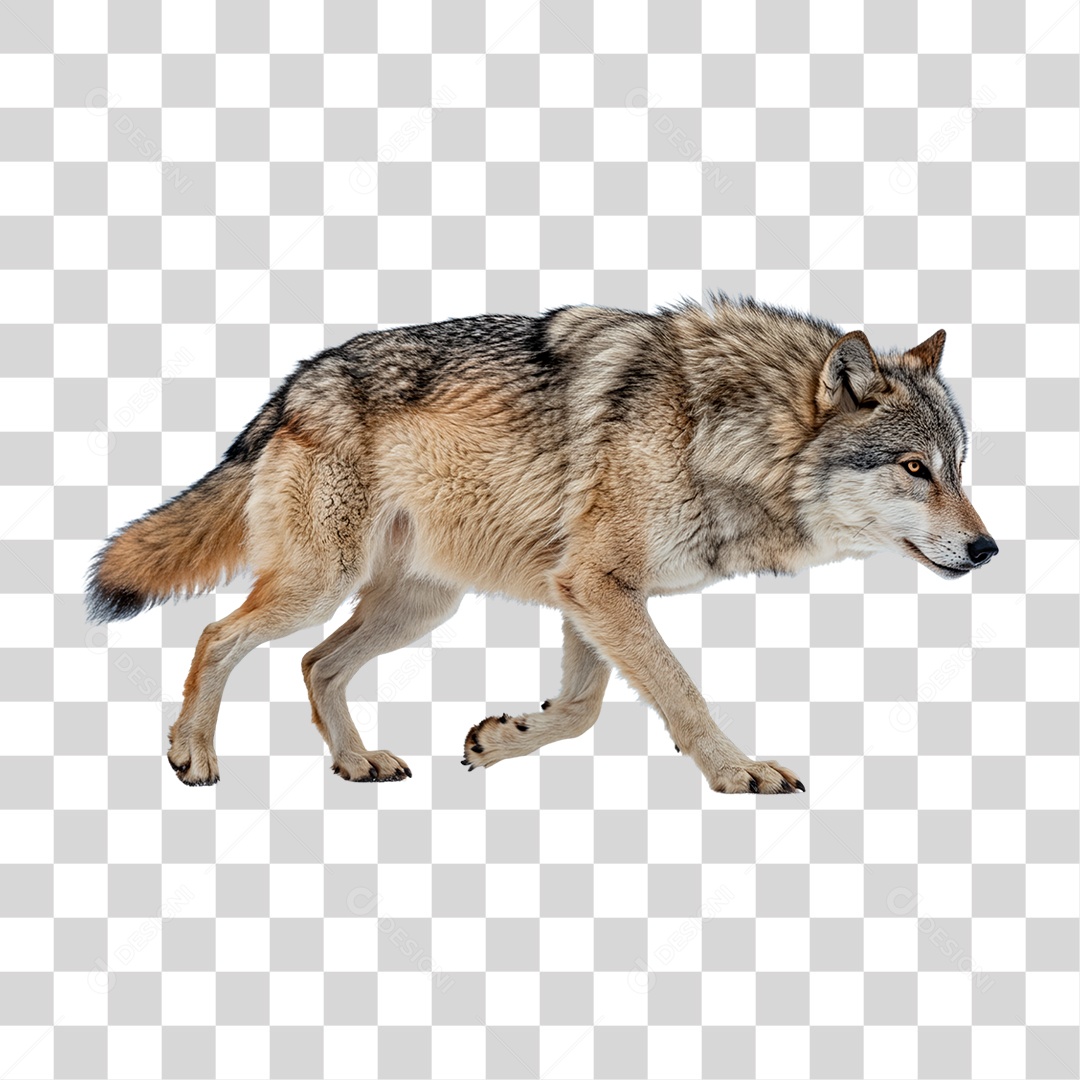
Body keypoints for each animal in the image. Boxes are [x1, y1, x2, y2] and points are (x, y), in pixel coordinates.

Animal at [86, 295, 997, 794]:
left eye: (958, 467)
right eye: (915, 468)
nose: (988, 550)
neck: (716, 430)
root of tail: (293, 384)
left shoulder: (589, 592)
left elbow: (583, 708)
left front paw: (500, 740)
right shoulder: (597, 586)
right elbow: (679, 693)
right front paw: (737, 773)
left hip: (420, 606)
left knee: (314, 664)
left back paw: (355, 763)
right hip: (321, 583)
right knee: (218, 634)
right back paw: (192, 753)